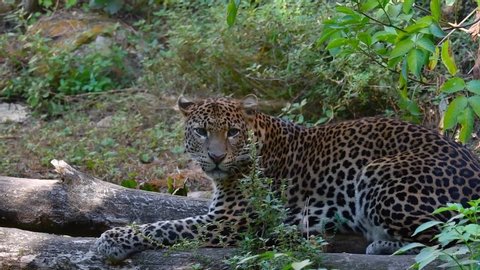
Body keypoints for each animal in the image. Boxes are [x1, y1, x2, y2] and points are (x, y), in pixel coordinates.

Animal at [94, 95, 480, 262]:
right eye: (202, 132)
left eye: (233, 132)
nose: (216, 157)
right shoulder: (217, 212)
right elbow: (166, 215)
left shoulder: (228, 221)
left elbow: (165, 226)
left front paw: (111, 240)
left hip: (378, 173)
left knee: (447, 238)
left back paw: (382, 245)